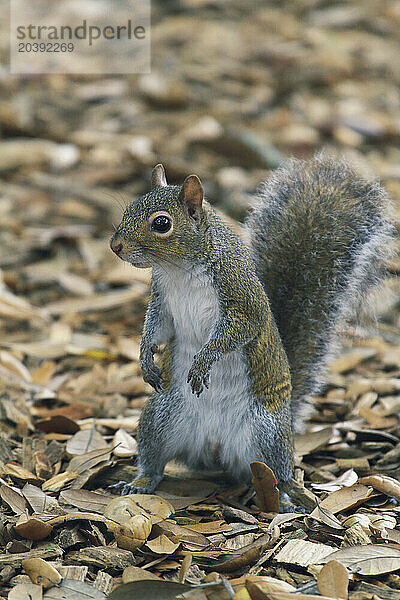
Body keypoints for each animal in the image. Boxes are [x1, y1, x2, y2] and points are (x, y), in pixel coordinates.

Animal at [108, 152, 392, 504]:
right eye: (129, 209)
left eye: (161, 224)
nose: (115, 246)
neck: (179, 269)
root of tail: (215, 448)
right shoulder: (162, 300)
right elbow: (157, 329)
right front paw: (146, 359)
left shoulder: (240, 299)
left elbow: (238, 332)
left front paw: (204, 360)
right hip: (161, 416)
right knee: (154, 460)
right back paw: (140, 482)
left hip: (265, 432)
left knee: (277, 472)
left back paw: (285, 497)